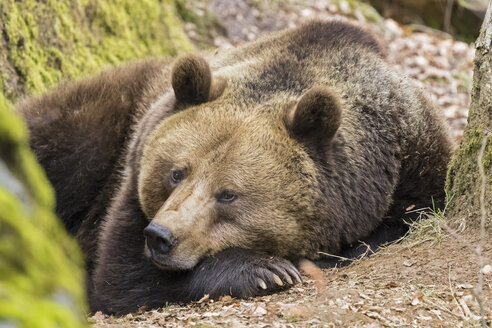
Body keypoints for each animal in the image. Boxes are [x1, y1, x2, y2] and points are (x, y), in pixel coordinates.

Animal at [17, 19, 456, 312]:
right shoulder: (132, 168)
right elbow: (120, 275)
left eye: (228, 194)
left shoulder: (416, 167)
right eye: (176, 172)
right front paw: (264, 271)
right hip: (103, 117)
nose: (161, 237)